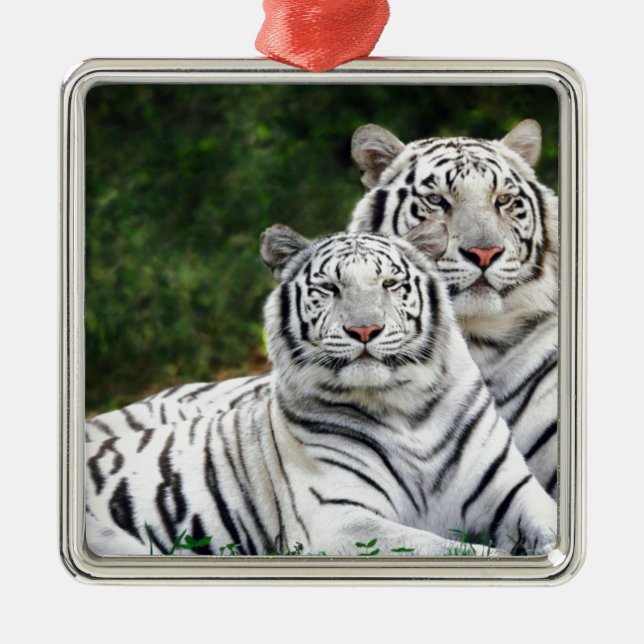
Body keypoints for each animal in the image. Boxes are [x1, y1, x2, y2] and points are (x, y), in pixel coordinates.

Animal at [85, 221, 556, 557]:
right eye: (330, 288)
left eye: (389, 284)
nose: (364, 330)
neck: (406, 408)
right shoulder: (340, 521)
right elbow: (453, 550)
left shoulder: (512, 490)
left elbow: (548, 527)